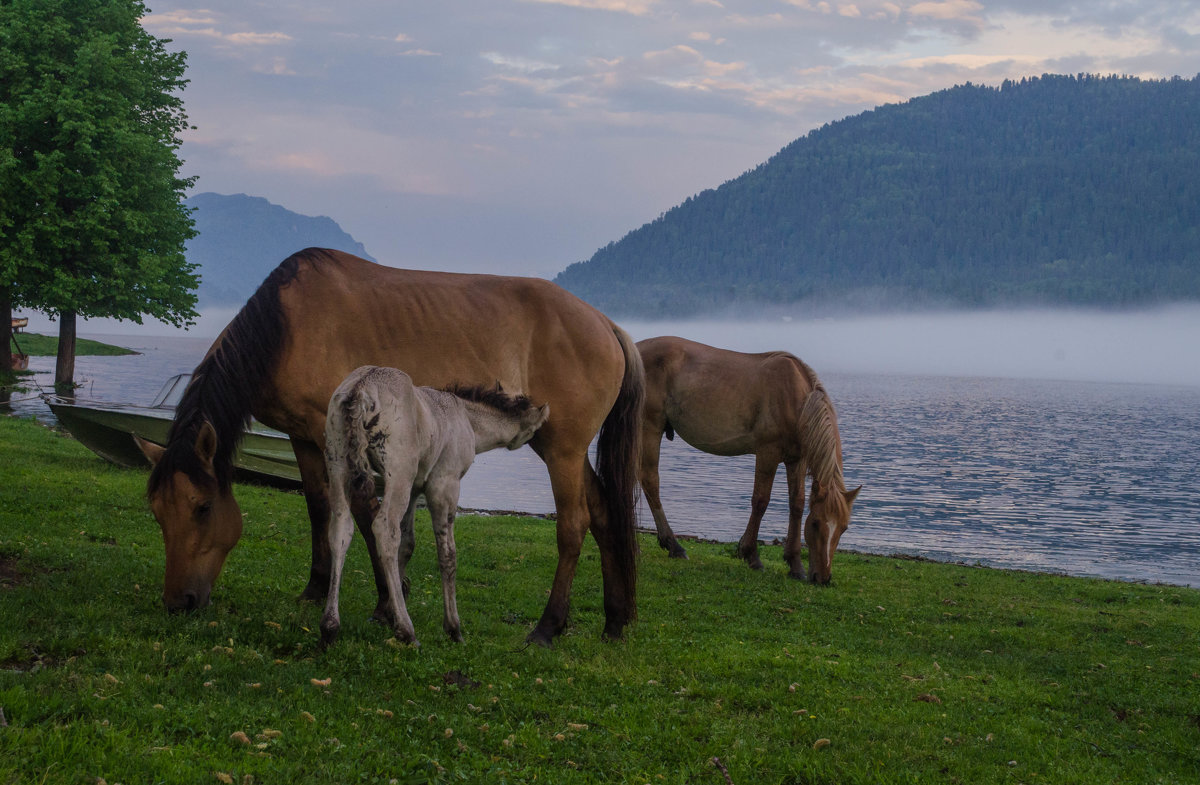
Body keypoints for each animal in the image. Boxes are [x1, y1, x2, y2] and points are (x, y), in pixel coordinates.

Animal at [316, 364, 547, 648]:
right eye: (535, 430)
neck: (466, 418)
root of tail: (360, 389)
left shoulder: (416, 488)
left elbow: (407, 544)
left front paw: (386, 613)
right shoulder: (444, 484)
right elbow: (448, 554)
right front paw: (453, 628)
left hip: (339, 465)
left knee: (341, 528)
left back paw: (330, 626)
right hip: (398, 473)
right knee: (384, 530)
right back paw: (407, 631)